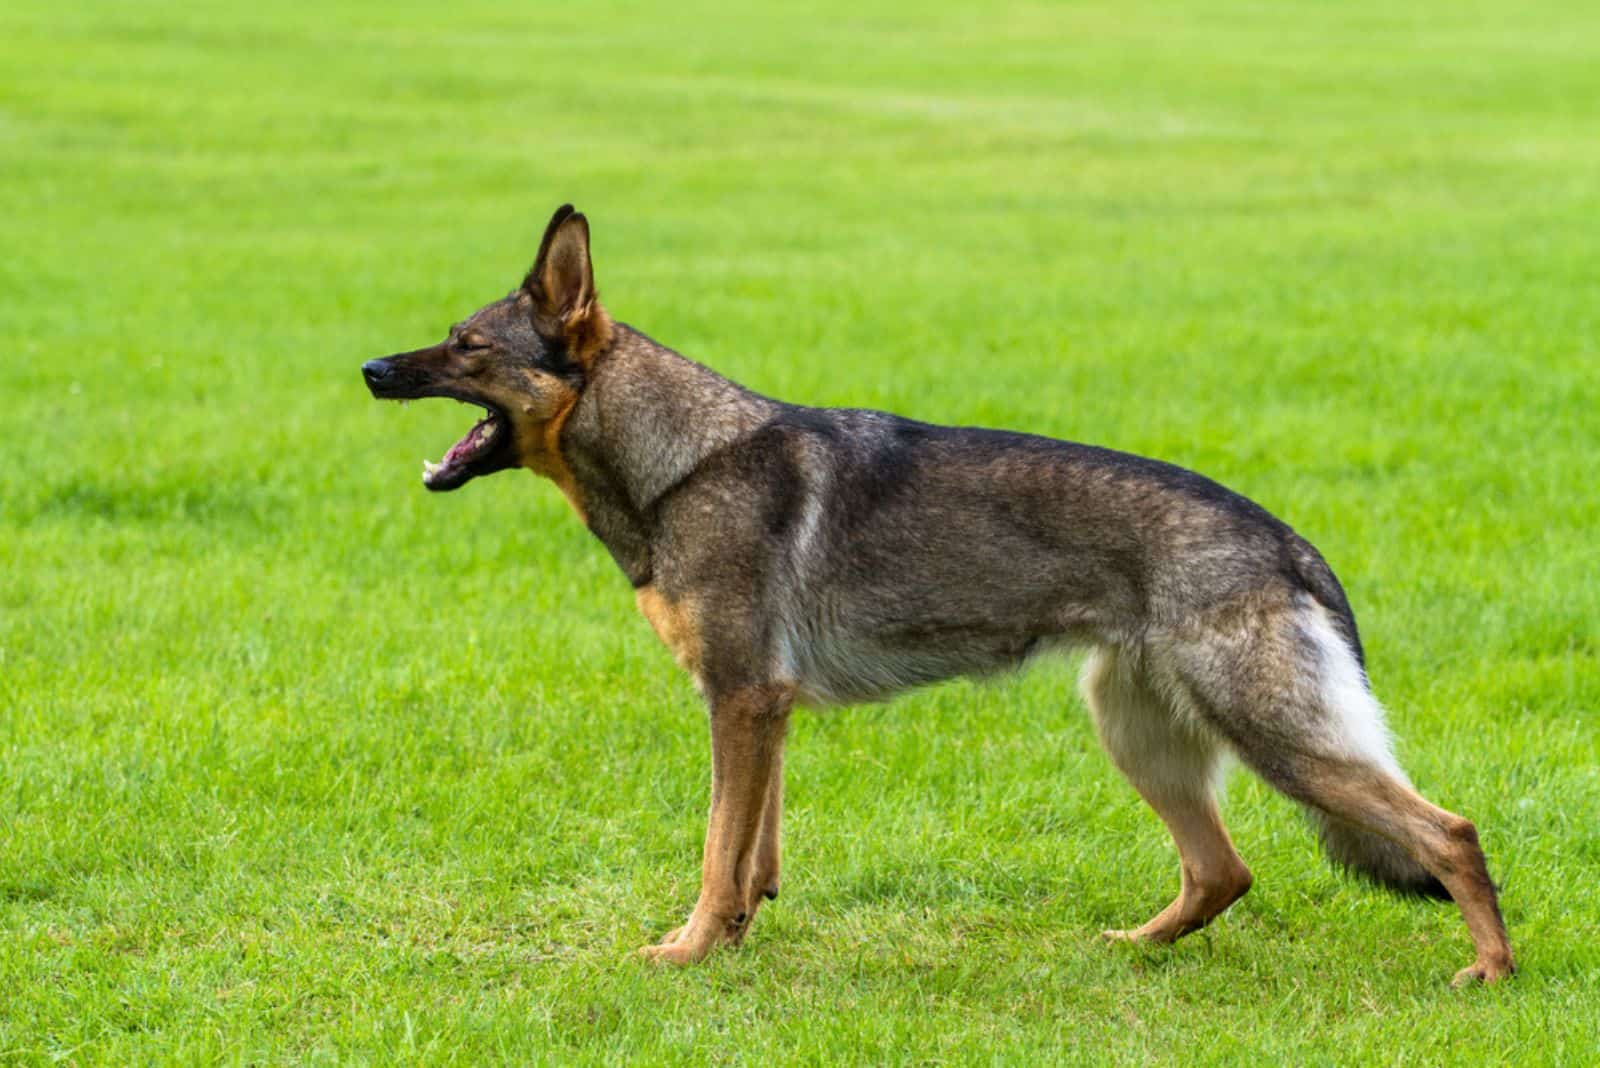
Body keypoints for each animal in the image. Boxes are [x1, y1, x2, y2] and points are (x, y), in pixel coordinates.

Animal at [360, 204, 1510, 978]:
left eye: (466, 347)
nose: (370, 368)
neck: (681, 460)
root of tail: (1286, 540)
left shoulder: (740, 701)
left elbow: (715, 849)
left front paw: (686, 952)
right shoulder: (765, 712)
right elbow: (753, 851)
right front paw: (735, 938)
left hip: (1272, 740)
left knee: (1446, 832)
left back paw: (1490, 973)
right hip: (1136, 732)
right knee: (1222, 873)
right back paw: (1131, 945)